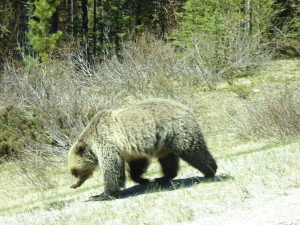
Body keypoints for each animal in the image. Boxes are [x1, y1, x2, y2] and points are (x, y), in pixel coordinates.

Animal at [68, 98, 218, 200]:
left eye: (74, 171)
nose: (72, 185)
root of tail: (185, 108)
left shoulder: (108, 143)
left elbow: (112, 170)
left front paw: (100, 195)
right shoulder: (130, 150)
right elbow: (137, 165)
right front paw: (144, 179)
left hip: (177, 131)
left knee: (192, 151)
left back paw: (210, 171)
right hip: (164, 143)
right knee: (168, 160)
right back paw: (162, 178)